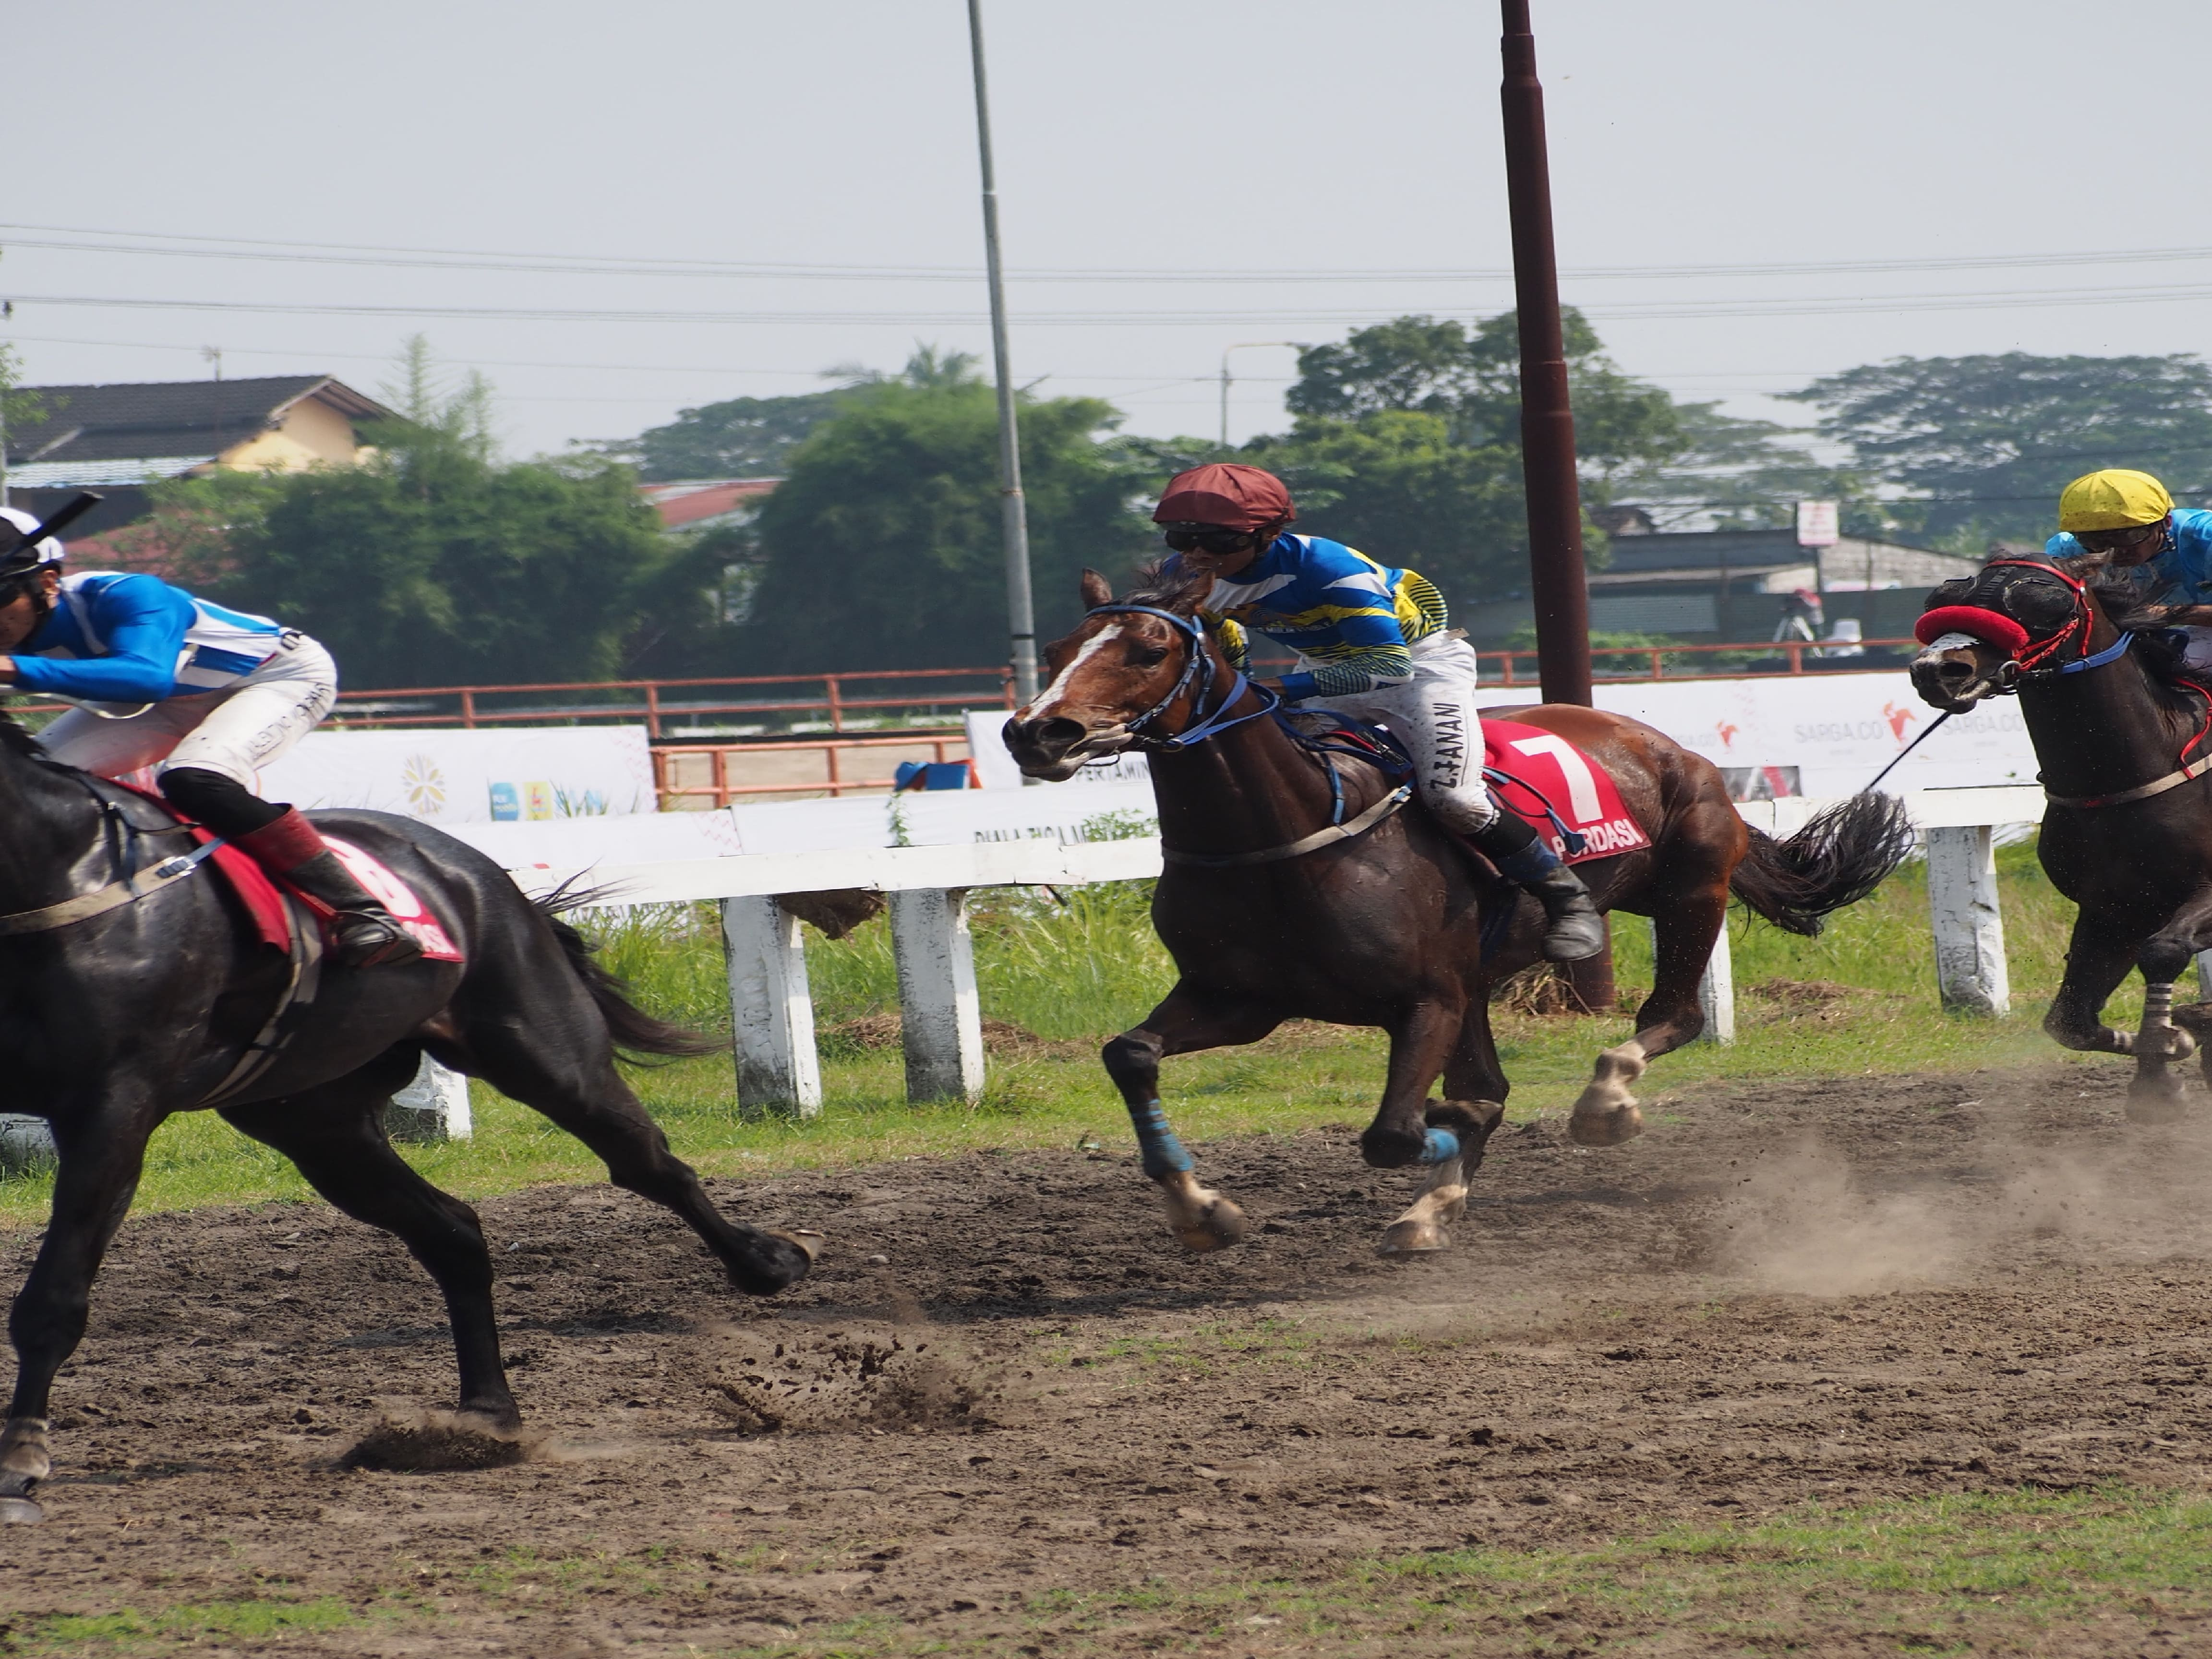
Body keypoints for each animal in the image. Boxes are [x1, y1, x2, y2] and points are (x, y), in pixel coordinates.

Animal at [0, 721, 818, 1530]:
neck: (63, 874)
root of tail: (476, 870)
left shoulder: (116, 1103)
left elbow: (55, 1295)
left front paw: (23, 1458)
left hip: (542, 1053)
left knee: (648, 1165)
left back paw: (767, 1263)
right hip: (317, 1121)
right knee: (453, 1232)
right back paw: (484, 1415)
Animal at [1004, 575, 1902, 1256]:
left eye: (1148, 650)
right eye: (1052, 653)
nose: (1035, 732)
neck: (1285, 837)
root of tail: (1669, 745)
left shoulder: (1424, 998)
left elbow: (1398, 1131)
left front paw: (1444, 1130)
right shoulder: (1239, 998)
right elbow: (1129, 1054)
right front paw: (1201, 1210)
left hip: (1690, 891)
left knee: (1673, 1015)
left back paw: (1602, 1101)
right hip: (1490, 974)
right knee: (1496, 1079)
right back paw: (1429, 1208)